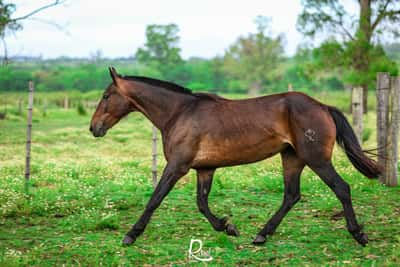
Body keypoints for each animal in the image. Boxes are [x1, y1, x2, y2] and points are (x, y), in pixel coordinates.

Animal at [90, 68, 382, 248]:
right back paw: (261, 235)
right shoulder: (205, 169)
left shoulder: (177, 166)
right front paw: (227, 226)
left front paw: (130, 235)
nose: (94, 128)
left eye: (106, 96)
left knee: (341, 188)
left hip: (316, 159)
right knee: (291, 195)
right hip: (292, 158)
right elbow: (201, 203)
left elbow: (155, 199)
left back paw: (359, 235)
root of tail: (322, 106)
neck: (180, 113)